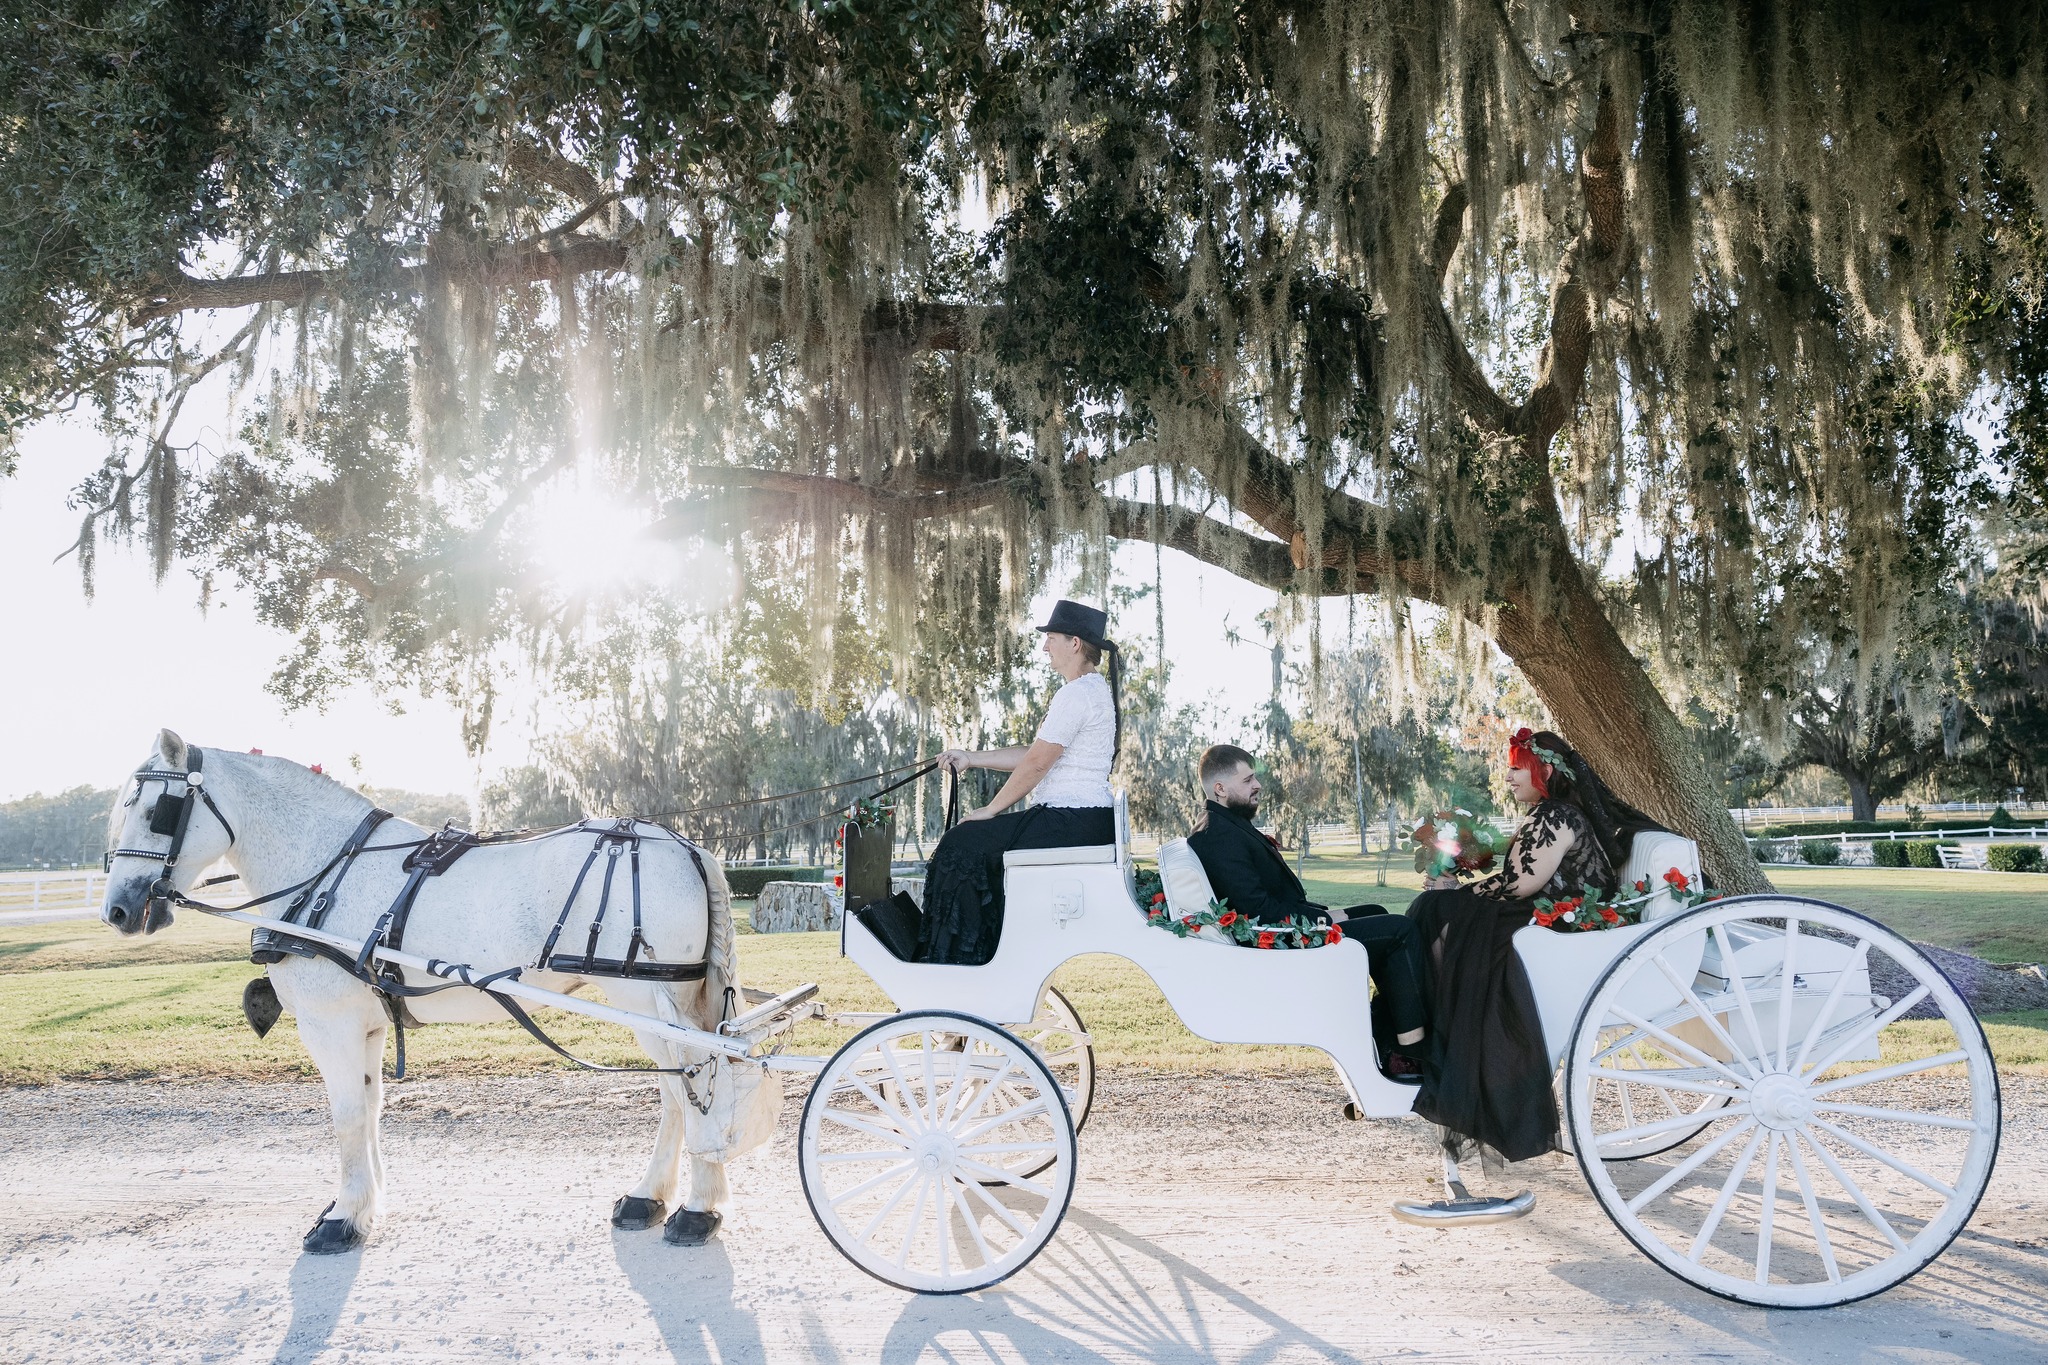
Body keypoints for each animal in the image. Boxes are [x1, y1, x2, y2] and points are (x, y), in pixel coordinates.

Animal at [101, 732, 770, 1252]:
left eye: (159, 809)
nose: (118, 908)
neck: (328, 869)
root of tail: (684, 846)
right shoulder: (368, 1023)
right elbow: (369, 1110)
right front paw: (364, 1206)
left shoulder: (329, 1023)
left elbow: (346, 1116)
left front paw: (342, 1220)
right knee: (678, 1093)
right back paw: (649, 1198)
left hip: (647, 1000)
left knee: (692, 1089)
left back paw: (698, 1209)